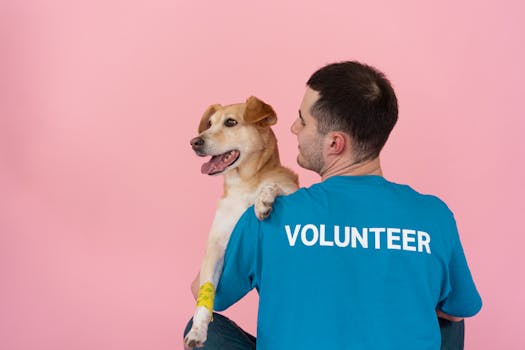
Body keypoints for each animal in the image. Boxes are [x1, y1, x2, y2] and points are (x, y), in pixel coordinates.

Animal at [184, 95, 298, 348]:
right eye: (209, 124)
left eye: (230, 122)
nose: (194, 142)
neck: (243, 183)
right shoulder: (216, 248)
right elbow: (205, 297)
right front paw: (197, 331)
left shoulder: (291, 188)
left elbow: (274, 185)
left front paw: (263, 199)